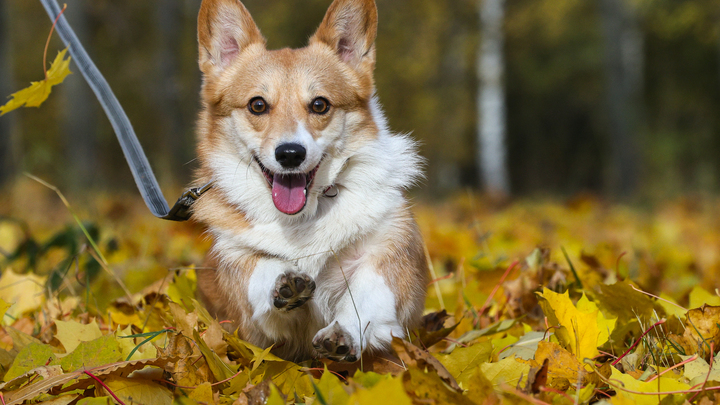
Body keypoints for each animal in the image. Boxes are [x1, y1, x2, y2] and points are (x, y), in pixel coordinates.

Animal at [191, 0, 428, 362]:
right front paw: (285, 282)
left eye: (319, 104)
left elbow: (367, 292)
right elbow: (261, 271)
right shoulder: (240, 272)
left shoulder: (389, 249)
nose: (290, 154)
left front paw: (343, 332)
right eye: (257, 105)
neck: (303, 219)